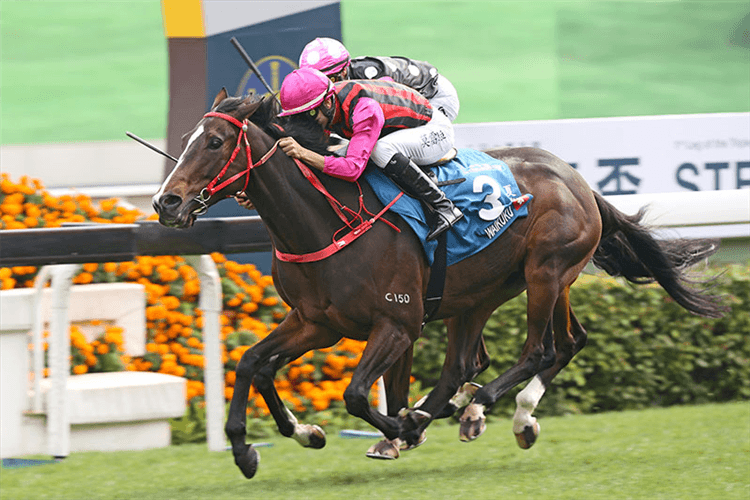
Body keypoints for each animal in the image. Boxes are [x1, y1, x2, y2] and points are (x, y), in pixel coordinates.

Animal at [151, 92, 728, 478]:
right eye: (183, 141)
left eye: (216, 142)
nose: (166, 202)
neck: (327, 220)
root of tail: (579, 180)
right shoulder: (316, 322)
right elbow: (253, 362)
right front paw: (264, 444)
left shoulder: (397, 322)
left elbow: (355, 394)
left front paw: (401, 428)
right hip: (484, 293)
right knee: (525, 351)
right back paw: (483, 413)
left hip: (546, 272)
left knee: (539, 349)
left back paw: (471, 409)